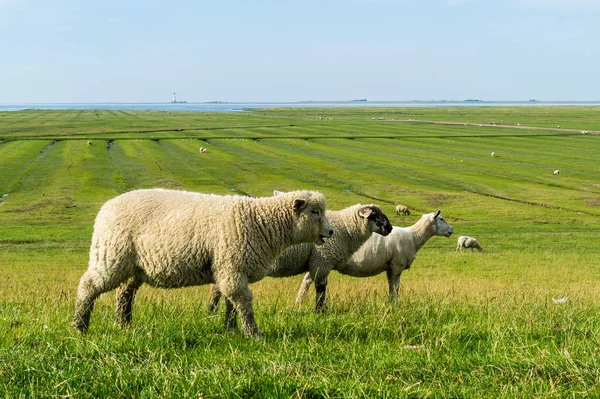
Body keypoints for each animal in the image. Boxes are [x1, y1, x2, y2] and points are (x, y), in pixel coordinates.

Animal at [72, 189, 332, 340]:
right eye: (315, 211)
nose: (330, 232)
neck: (261, 221)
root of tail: (106, 207)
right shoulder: (232, 264)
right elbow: (243, 302)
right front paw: (253, 334)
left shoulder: (230, 268)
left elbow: (230, 302)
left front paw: (230, 330)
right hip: (111, 255)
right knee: (88, 286)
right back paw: (79, 327)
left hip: (134, 265)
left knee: (124, 293)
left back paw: (123, 325)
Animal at [207, 205, 394, 314]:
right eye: (375, 215)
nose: (390, 228)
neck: (346, 228)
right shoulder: (322, 261)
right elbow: (321, 290)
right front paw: (320, 312)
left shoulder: (317, 264)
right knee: (217, 289)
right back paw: (211, 311)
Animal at [298, 209, 452, 304]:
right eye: (442, 219)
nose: (451, 230)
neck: (413, 237)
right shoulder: (397, 266)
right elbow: (396, 288)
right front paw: (396, 306)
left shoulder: (390, 268)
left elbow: (391, 288)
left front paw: (391, 305)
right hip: (322, 260)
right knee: (307, 281)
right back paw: (299, 302)